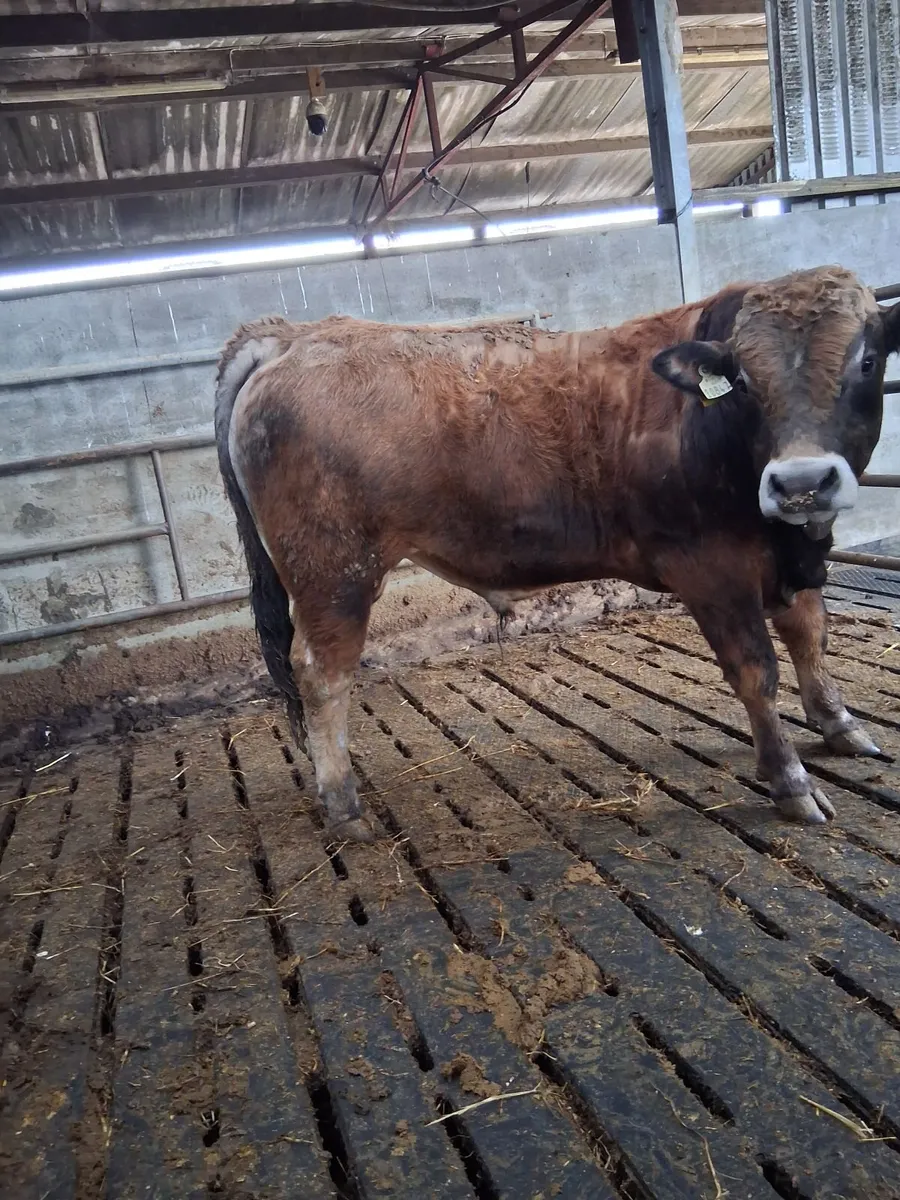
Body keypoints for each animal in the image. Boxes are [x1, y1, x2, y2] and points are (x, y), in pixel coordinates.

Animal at [215, 265, 900, 843]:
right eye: (746, 382)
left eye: (868, 361)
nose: (800, 482)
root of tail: (298, 334)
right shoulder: (711, 570)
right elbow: (758, 671)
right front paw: (790, 779)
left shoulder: (793, 555)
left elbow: (810, 635)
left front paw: (840, 724)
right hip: (333, 572)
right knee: (320, 675)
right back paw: (343, 804)